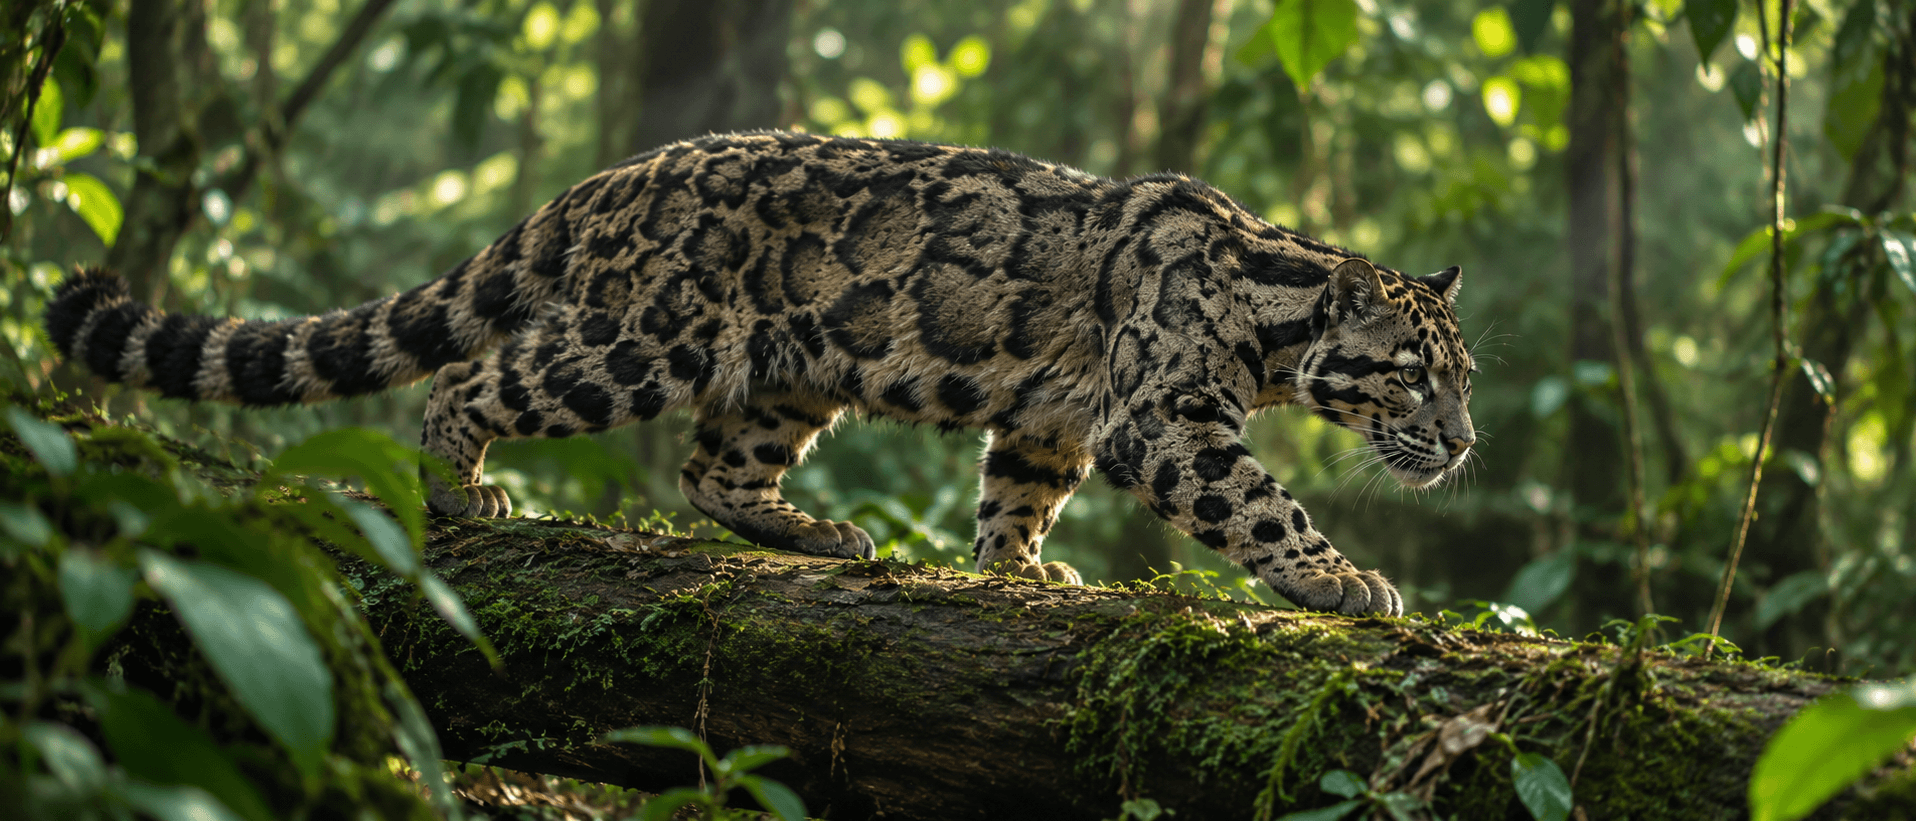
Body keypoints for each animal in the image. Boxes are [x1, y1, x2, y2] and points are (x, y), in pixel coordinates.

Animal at [44, 130, 1478, 617]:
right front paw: (1342, 578)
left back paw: (811, 530)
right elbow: (1258, 502)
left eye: (1463, 376)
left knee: (708, 470)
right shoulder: (1163, 415)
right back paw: (461, 488)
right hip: (639, 341)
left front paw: (1015, 572)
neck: (1273, 315)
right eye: (1414, 375)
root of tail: (609, 177)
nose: (1463, 441)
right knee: (473, 385)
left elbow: (1014, 493)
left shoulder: (1059, 419)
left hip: (787, 372)